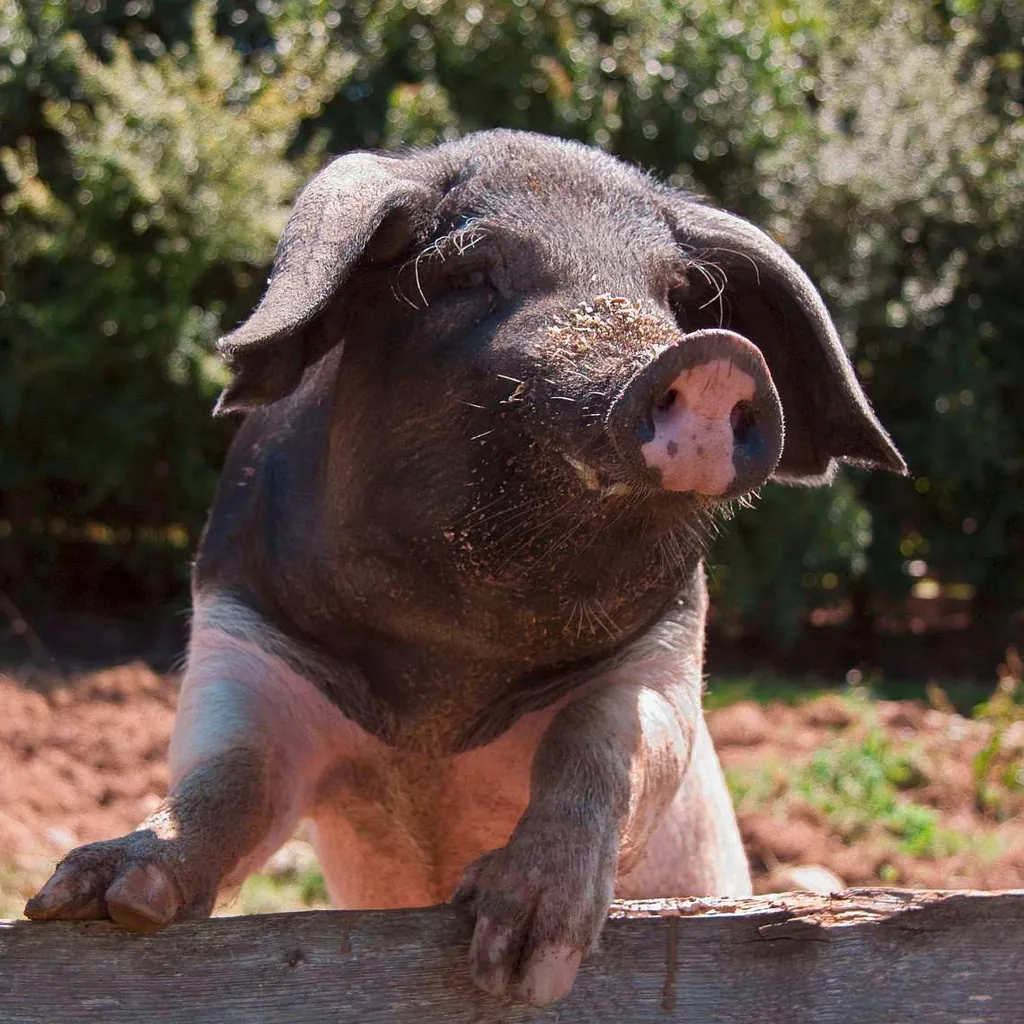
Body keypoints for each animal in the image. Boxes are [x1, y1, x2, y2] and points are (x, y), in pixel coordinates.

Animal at [26, 130, 905, 1006]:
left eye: (678, 296)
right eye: (467, 272)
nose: (715, 354)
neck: (443, 687)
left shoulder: (666, 654)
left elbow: (600, 747)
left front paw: (523, 968)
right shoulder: (240, 632)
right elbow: (233, 774)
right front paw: (92, 903)